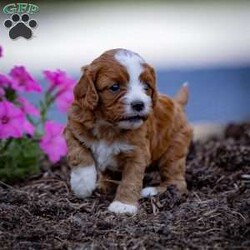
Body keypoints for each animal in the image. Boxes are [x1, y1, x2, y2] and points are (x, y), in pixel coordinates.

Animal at [63, 49, 192, 215]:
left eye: (146, 86)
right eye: (114, 87)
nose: (139, 104)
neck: (108, 126)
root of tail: (178, 104)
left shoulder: (137, 153)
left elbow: (131, 179)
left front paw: (123, 205)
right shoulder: (73, 128)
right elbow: (79, 154)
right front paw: (82, 185)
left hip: (173, 150)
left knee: (177, 181)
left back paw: (153, 191)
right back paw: (103, 185)